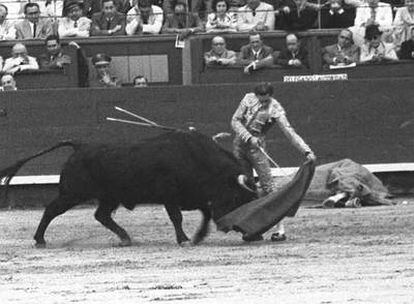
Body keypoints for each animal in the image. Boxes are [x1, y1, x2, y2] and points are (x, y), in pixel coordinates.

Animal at [0, 131, 258, 247]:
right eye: (238, 197)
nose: (238, 229)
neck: (196, 157)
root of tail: (80, 145)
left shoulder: (194, 196)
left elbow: (204, 213)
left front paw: (198, 236)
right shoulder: (170, 196)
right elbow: (177, 217)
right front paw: (184, 238)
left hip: (108, 197)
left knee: (101, 215)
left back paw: (125, 237)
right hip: (72, 193)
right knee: (51, 210)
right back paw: (39, 239)